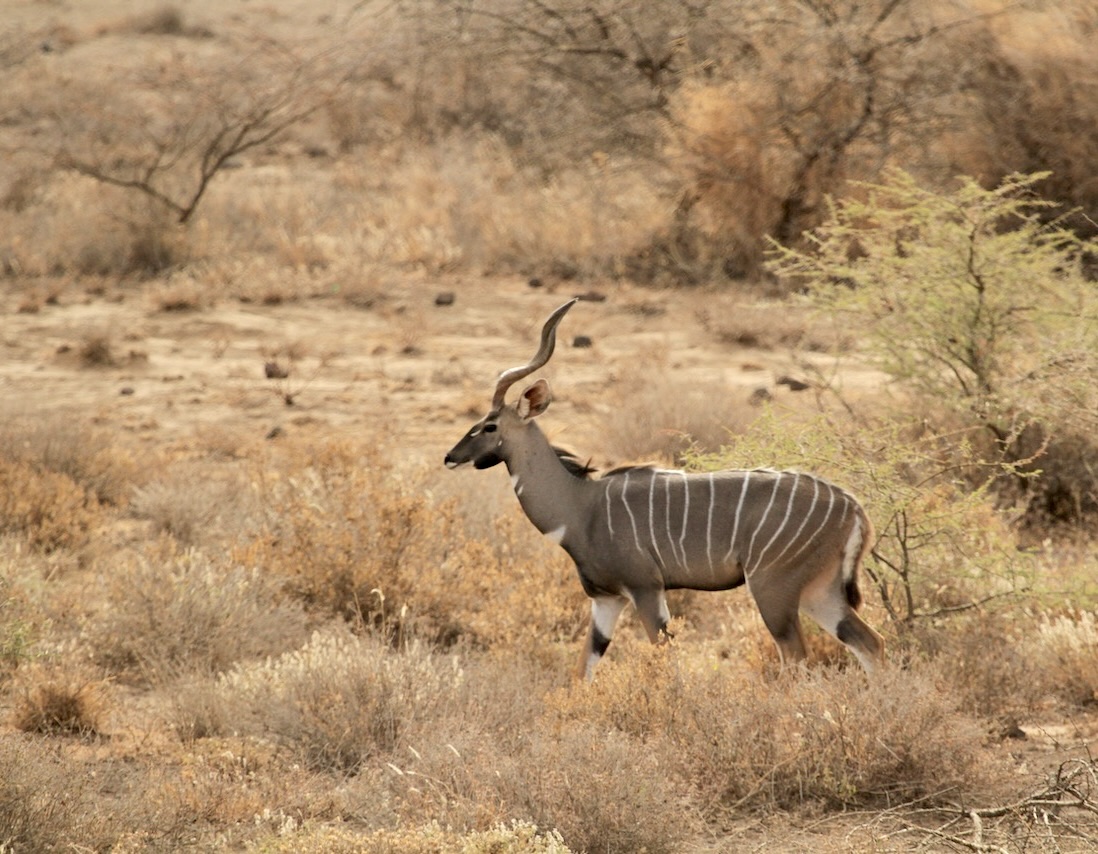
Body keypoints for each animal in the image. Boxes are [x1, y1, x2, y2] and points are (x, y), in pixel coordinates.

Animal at [445, 296, 882, 676]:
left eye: (489, 425)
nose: (451, 456)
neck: (581, 506)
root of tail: (853, 508)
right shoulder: (606, 600)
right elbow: (583, 669)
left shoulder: (646, 590)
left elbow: (664, 662)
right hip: (819, 593)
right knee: (869, 642)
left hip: (773, 589)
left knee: (797, 657)